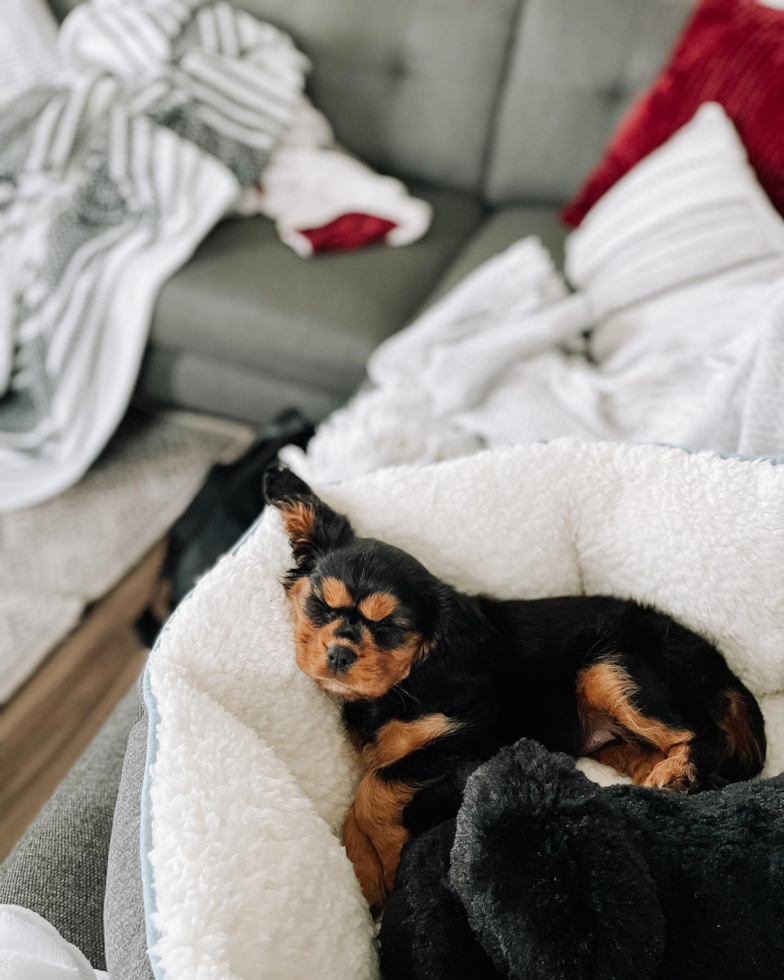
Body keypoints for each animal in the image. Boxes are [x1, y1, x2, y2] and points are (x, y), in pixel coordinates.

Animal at [264, 466, 764, 912]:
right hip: (607, 727)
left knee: (704, 736)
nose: (339, 655)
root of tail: (718, 664)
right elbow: (363, 796)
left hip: (610, 666)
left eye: (390, 627)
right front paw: (364, 869)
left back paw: (678, 774)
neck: (405, 681)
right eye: (319, 604)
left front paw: (383, 855)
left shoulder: (469, 738)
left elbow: (375, 786)